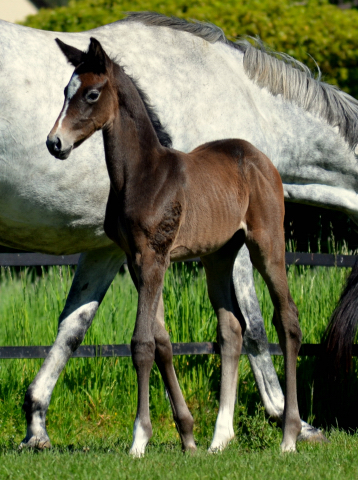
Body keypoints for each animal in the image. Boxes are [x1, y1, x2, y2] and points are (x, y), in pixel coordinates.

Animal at [46, 38, 300, 458]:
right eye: (66, 92)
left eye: (91, 94)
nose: (54, 143)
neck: (142, 175)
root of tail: (259, 158)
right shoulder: (137, 260)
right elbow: (163, 341)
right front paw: (188, 436)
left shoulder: (154, 257)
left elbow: (142, 343)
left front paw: (139, 438)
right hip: (219, 255)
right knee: (231, 328)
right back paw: (220, 438)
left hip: (267, 245)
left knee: (287, 320)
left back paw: (290, 435)